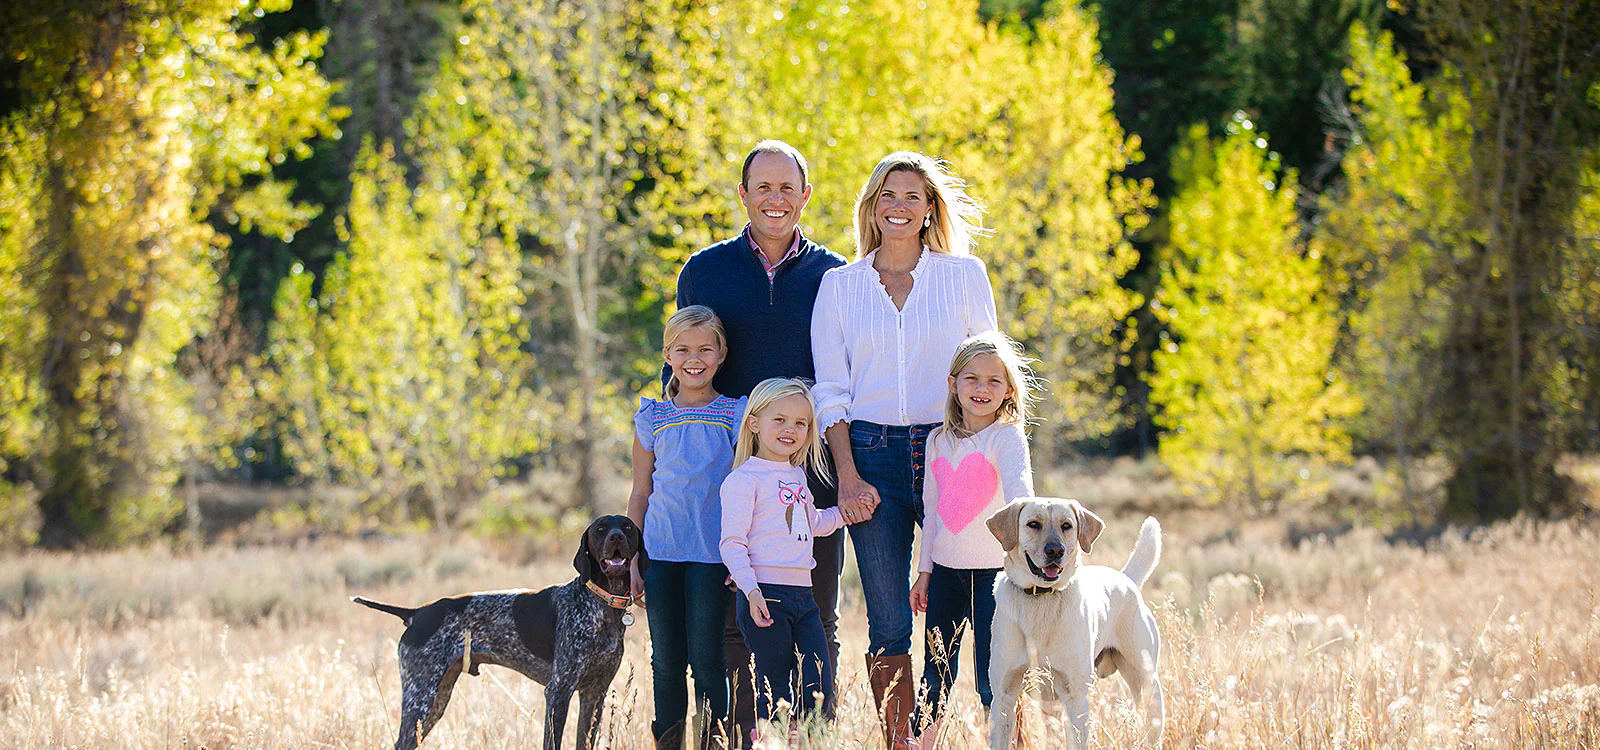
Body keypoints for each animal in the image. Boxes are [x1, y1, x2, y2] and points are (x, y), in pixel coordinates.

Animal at [353, 514, 646, 748]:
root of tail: (415, 613)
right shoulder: (558, 691)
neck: (601, 605)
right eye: (600, 529)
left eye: (628, 527)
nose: (616, 537)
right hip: (421, 697)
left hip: (436, 700)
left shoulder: (594, 694)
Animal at [979, 495, 1158, 748]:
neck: (1041, 598)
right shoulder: (1004, 696)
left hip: (1146, 684)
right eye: (1033, 524)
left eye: (1066, 526)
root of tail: (1126, 578)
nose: (1055, 550)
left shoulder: (1076, 697)